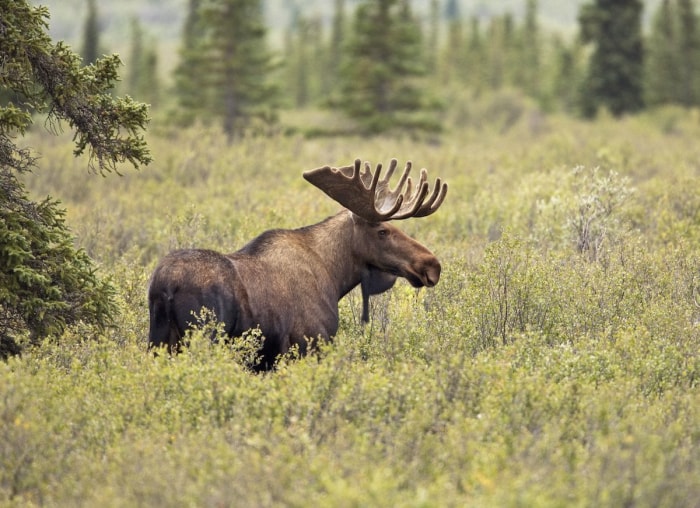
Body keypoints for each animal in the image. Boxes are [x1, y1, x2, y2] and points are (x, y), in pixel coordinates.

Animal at [149, 159, 448, 370]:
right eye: (383, 231)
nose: (431, 265)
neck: (335, 276)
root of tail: (165, 287)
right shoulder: (309, 344)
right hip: (203, 338)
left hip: (158, 340)